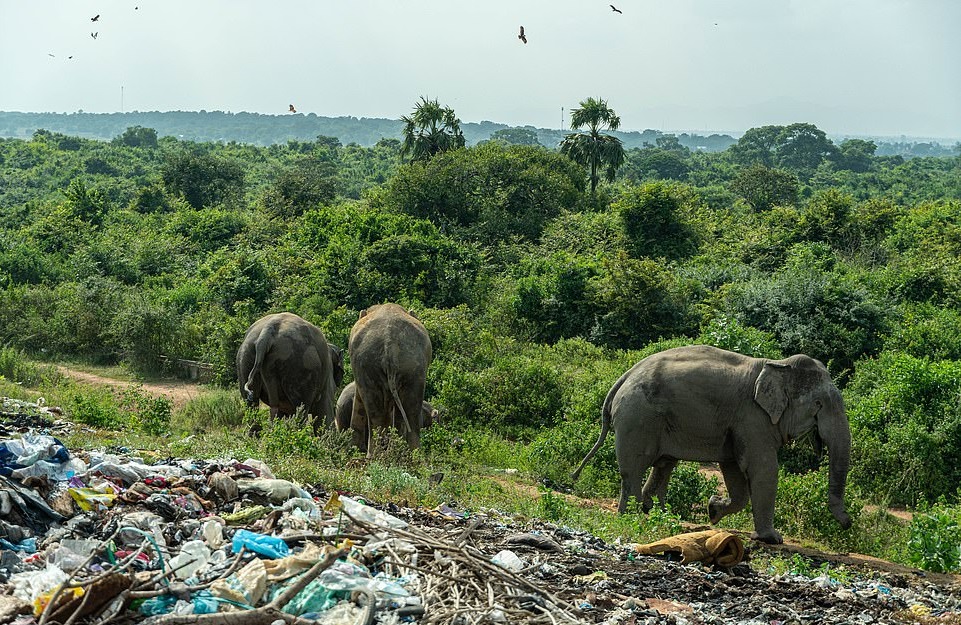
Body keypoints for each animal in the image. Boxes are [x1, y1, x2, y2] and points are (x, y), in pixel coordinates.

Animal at [571, 344, 851, 544]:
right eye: (818, 404)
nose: (847, 523)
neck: (779, 365)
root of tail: (624, 376)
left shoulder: (740, 423)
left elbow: (735, 470)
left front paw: (712, 510)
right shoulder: (752, 417)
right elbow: (763, 468)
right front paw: (772, 539)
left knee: (663, 464)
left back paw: (653, 511)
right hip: (638, 416)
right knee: (635, 467)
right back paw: (630, 514)